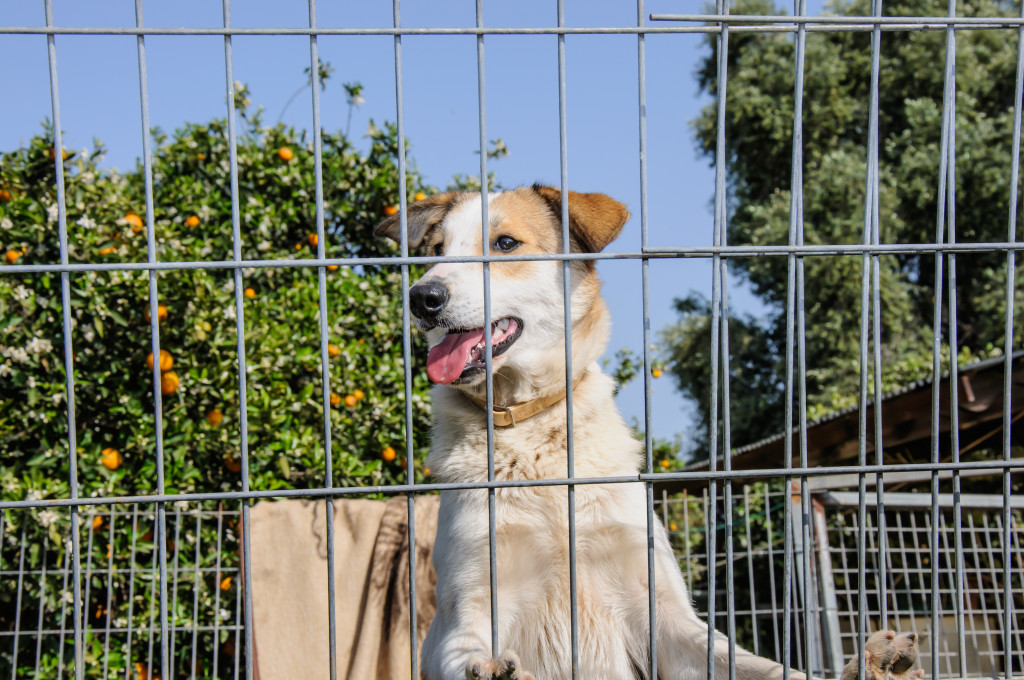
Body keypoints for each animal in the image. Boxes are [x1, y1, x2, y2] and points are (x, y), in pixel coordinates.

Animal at [378, 186, 815, 680]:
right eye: (436, 250)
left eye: (505, 244)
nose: (421, 297)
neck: (531, 431)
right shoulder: (466, 606)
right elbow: (467, 653)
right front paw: (492, 670)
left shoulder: (662, 611)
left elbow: (744, 660)